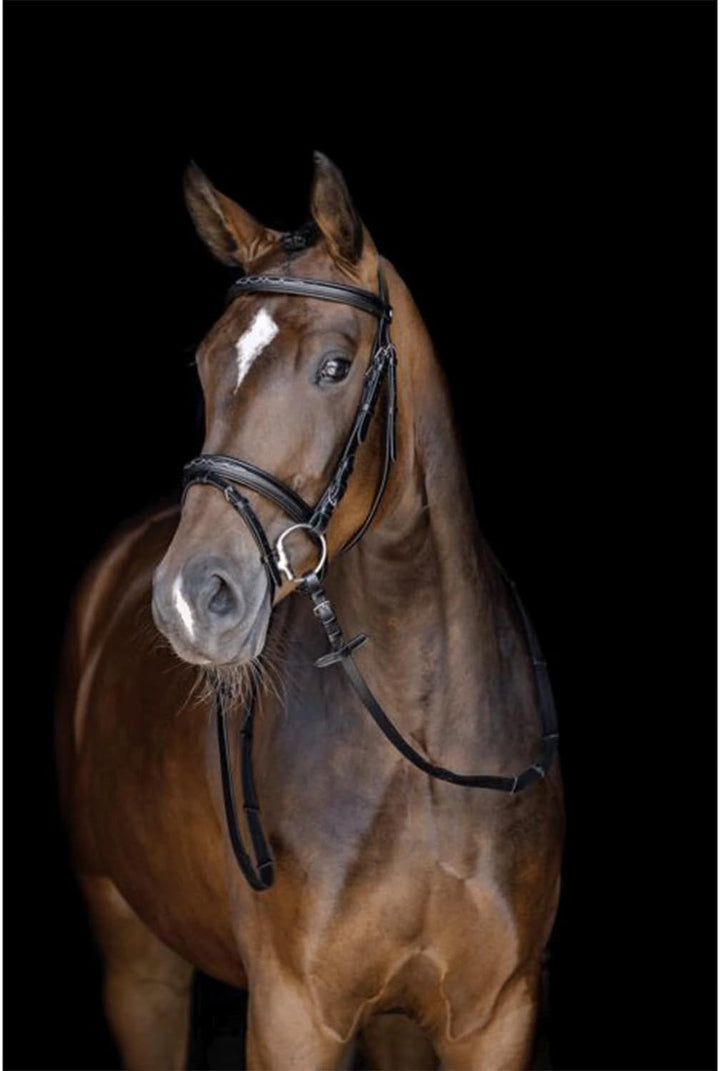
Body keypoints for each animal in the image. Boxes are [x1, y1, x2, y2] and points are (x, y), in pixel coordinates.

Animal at [56, 152, 565, 1071]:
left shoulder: (496, 1016)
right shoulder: (294, 1017)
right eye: (205, 363)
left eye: (334, 365)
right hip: (136, 953)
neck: (422, 744)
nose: (192, 598)